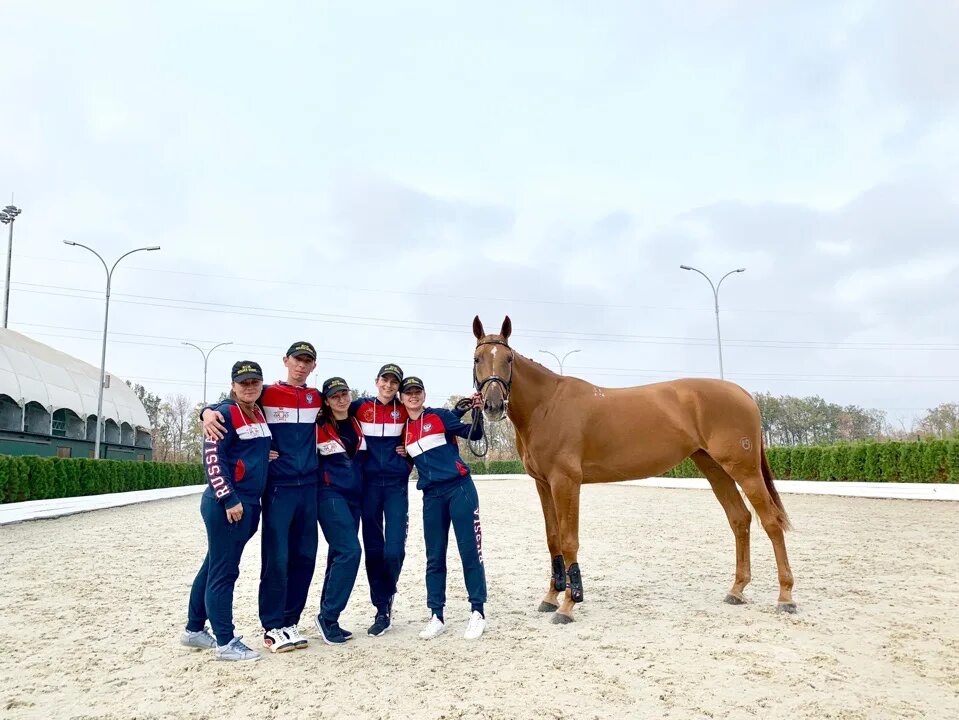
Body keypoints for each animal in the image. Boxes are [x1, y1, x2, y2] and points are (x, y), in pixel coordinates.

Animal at [470, 316, 796, 624]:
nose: (493, 405)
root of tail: (742, 393)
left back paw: (785, 597)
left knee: (771, 522)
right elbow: (553, 540)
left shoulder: (566, 482)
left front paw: (568, 605)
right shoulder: (543, 484)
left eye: (508, 359)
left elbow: (569, 539)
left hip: (745, 471)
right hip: (714, 468)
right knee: (740, 520)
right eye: (477, 358)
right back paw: (737, 590)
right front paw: (550, 597)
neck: (547, 405)